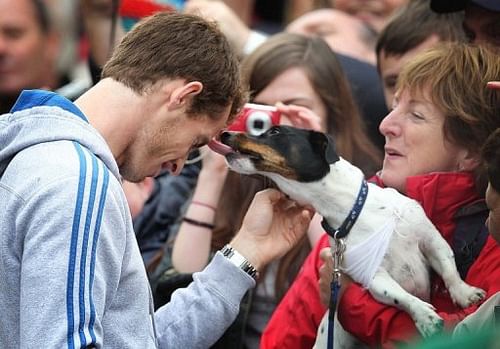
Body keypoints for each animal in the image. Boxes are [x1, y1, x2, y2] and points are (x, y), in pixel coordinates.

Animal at [209, 125, 486, 348]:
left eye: (275, 132)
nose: (224, 133)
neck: (355, 211)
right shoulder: (374, 277)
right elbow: (399, 296)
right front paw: (424, 316)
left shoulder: (431, 240)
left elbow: (449, 269)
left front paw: (465, 294)